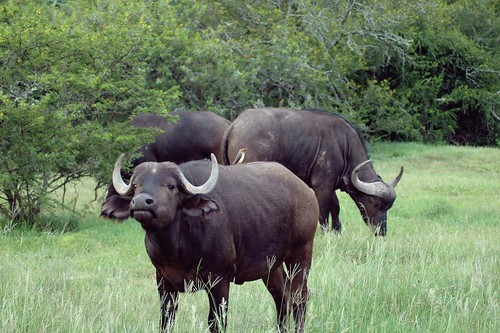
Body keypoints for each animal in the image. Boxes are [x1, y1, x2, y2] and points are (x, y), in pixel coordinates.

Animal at [105, 153, 318, 332]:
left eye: (171, 186)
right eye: (136, 186)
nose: (141, 202)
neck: (176, 248)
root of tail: (306, 192)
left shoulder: (219, 280)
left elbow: (216, 321)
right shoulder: (163, 281)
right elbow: (166, 321)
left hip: (301, 254)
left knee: (299, 297)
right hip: (271, 267)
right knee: (282, 297)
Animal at [221, 107, 404, 235]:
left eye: (389, 207)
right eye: (375, 203)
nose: (381, 231)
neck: (343, 146)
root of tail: (235, 125)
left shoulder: (331, 185)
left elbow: (335, 207)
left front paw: (337, 231)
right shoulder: (322, 185)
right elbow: (323, 212)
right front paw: (325, 233)